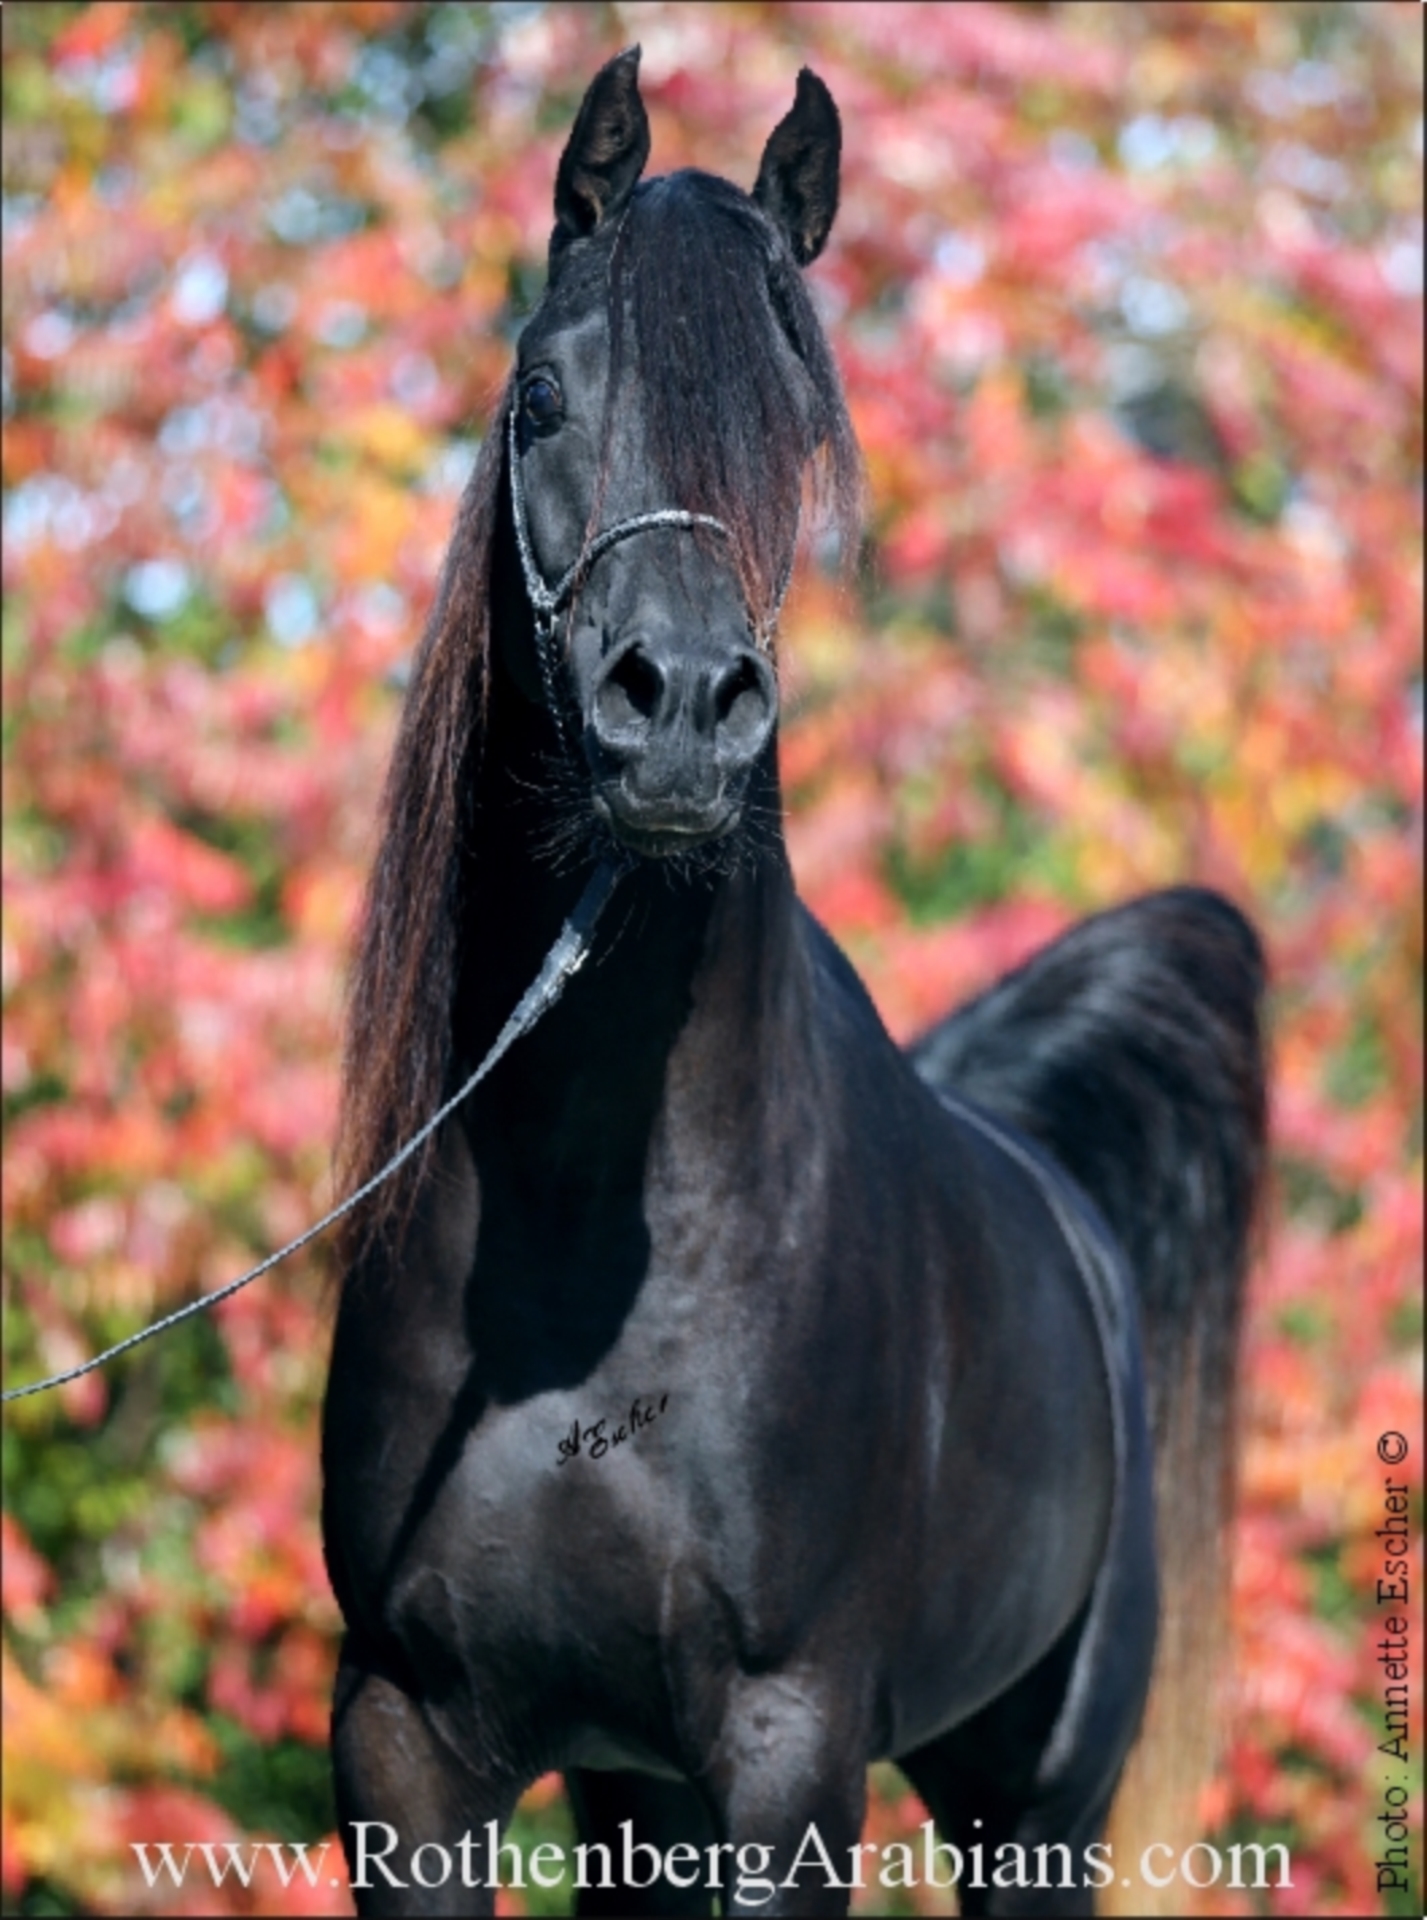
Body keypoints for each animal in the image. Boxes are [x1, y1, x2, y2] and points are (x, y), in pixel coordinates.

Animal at [320, 48, 1259, 1920]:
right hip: (638, 1798)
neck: (583, 1253)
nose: (679, 706)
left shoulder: (786, 1755)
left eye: (797, 429)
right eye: (542, 397)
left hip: (1031, 1804)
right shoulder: (407, 1751)